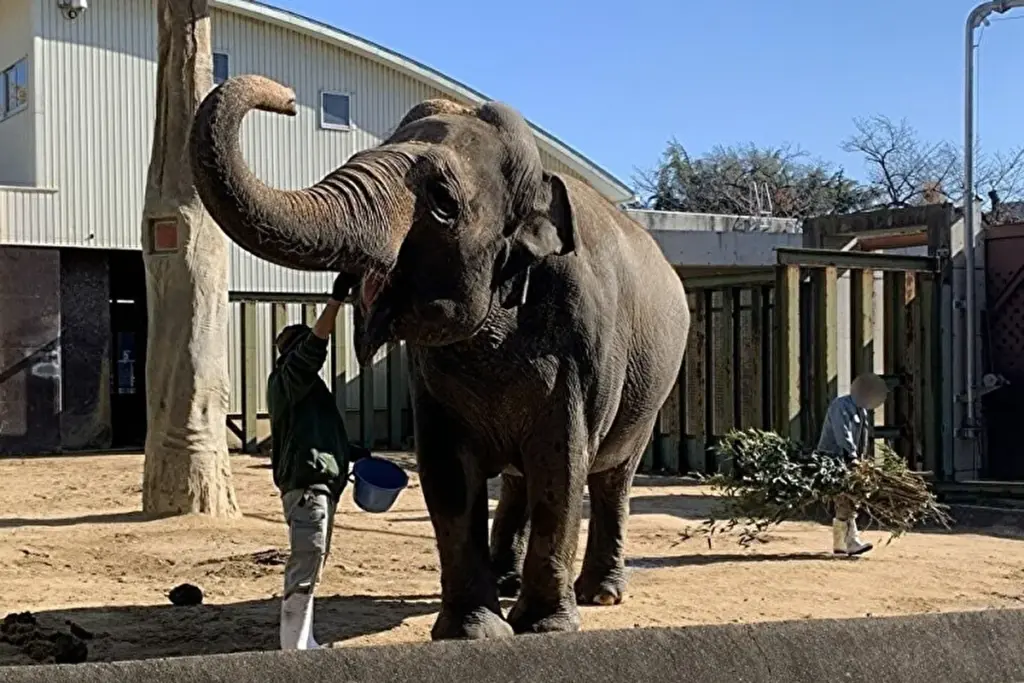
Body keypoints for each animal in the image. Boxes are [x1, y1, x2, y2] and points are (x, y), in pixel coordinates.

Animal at [189, 75, 690, 639]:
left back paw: (600, 594)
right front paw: (471, 631)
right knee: (517, 479)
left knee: (611, 478)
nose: (288, 98)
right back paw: (507, 583)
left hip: (653, 390)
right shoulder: (429, 375)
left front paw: (544, 628)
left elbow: (560, 467)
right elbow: (447, 470)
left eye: (443, 201)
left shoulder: (581, 348)